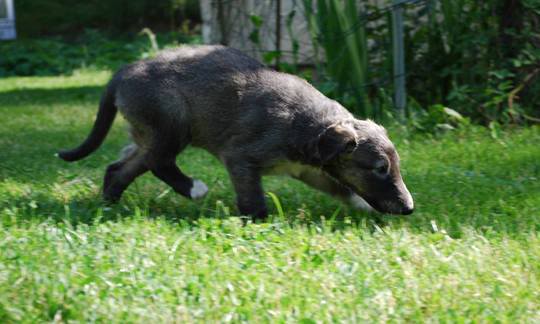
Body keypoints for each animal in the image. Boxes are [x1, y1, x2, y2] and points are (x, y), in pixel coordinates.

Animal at [58, 45, 414, 218]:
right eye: (380, 169)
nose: (409, 208)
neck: (307, 125)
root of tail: (122, 72)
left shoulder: (309, 171)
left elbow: (342, 188)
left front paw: (363, 206)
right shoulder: (241, 158)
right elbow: (252, 196)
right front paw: (258, 221)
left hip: (149, 133)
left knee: (121, 167)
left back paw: (109, 203)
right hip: (172, 123)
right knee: (159, 162)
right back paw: (193, 189)